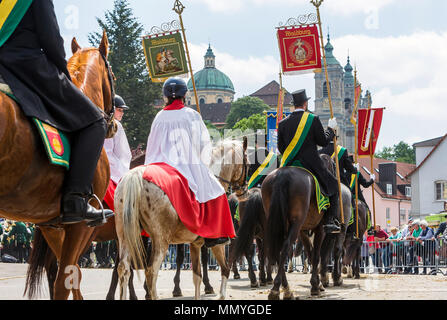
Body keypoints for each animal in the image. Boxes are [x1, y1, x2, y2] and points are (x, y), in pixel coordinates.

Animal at [0, 32, 115, 300]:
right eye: (113, 76)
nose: (113, 124)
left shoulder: (51, 225)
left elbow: (63, 275)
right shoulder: (80, 224)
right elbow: (66, 278)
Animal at [114, 138, 248, 300]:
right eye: (247, 161)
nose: (244, 191)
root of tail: (135, 176)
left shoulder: (195, 243)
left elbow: (197, 276)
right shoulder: (218, 240)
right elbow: (224, 269)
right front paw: (220, 294)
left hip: (125, 236)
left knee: (124, 268)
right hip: (160, 239)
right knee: (151, 271)